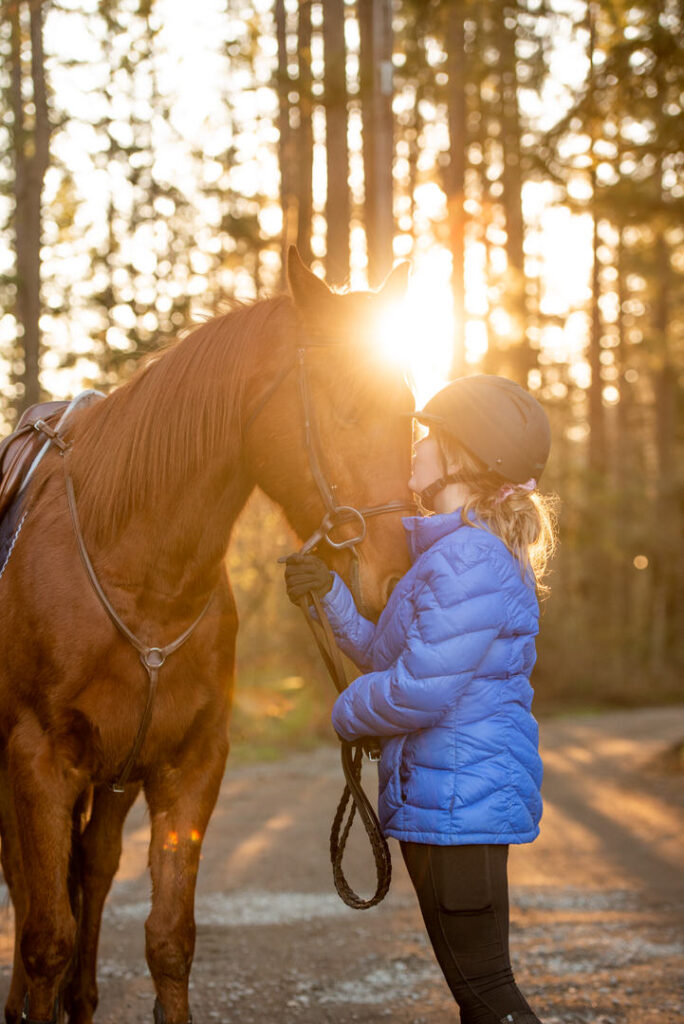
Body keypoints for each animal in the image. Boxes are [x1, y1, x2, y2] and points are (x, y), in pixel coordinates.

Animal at [0, 249, 413, 1024]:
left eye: (407, 411)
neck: (141, 577)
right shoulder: (37, 762)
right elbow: (44, 940)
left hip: (115, 779)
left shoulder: (188, 765)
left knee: (93, 871)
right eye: (343, 405)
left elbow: (168, 938)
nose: (398, 573)